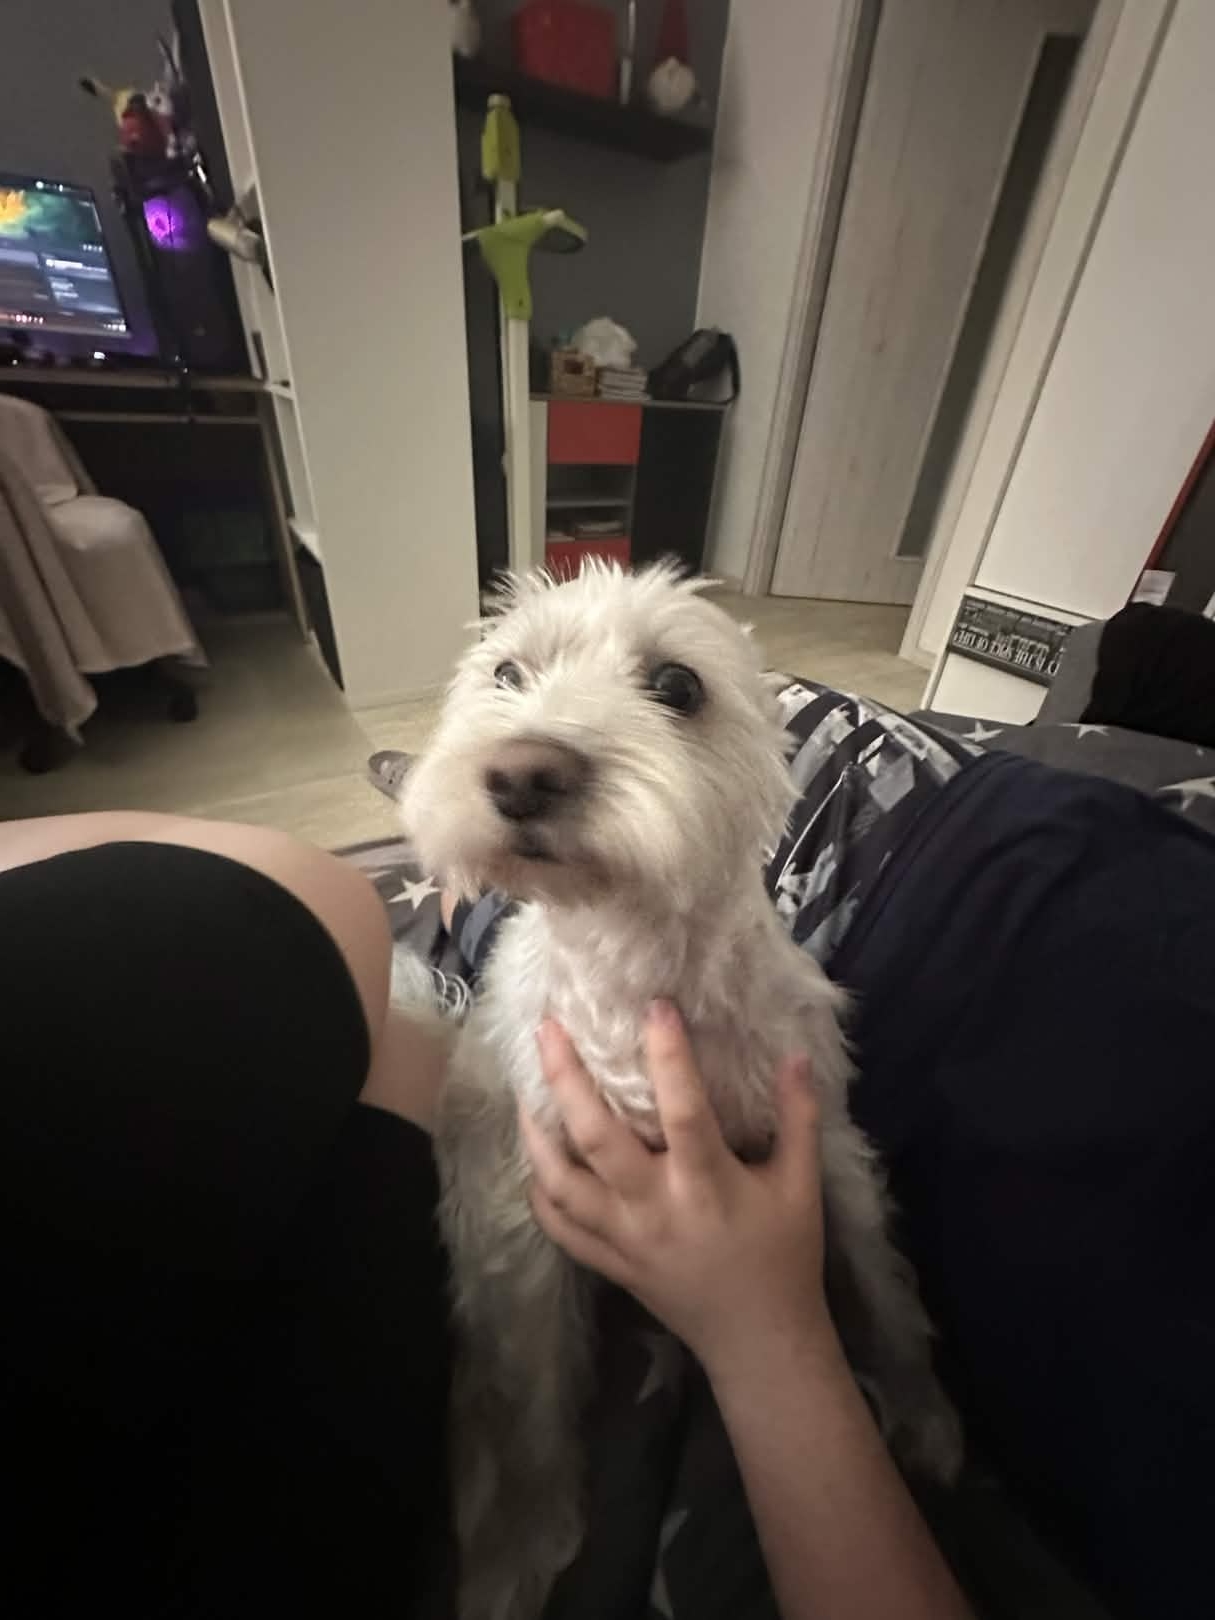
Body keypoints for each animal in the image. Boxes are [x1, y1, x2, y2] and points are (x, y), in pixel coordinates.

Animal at [401, 563, 961, 1620]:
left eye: (676, 685)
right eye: (506, 673)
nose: (522, 772)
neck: (634, 953)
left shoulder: (826, 1146)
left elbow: (879, 1282)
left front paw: (919, 1410)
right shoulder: (522, 1211)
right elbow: (535, 1392)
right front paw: (523, 1545)